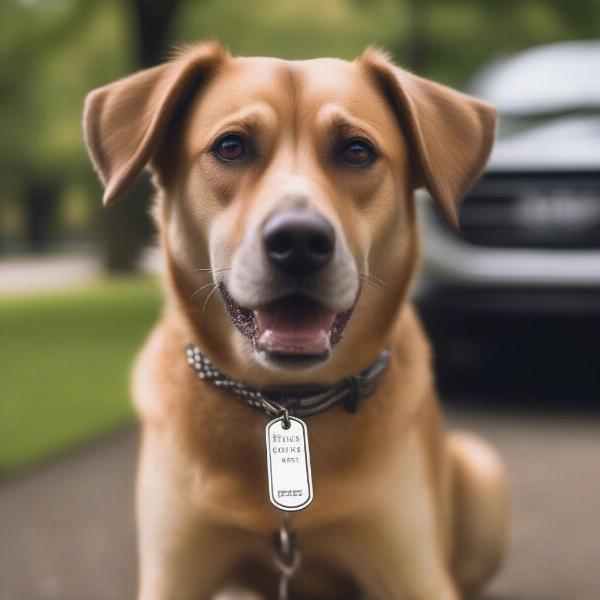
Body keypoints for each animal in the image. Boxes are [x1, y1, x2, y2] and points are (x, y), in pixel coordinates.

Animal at [82, 43, 508, 600]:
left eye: (356, 151)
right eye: (231, 146)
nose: (300, 241)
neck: (286, 399)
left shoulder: (413, 568)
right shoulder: (174, 567)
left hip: (483, 473)